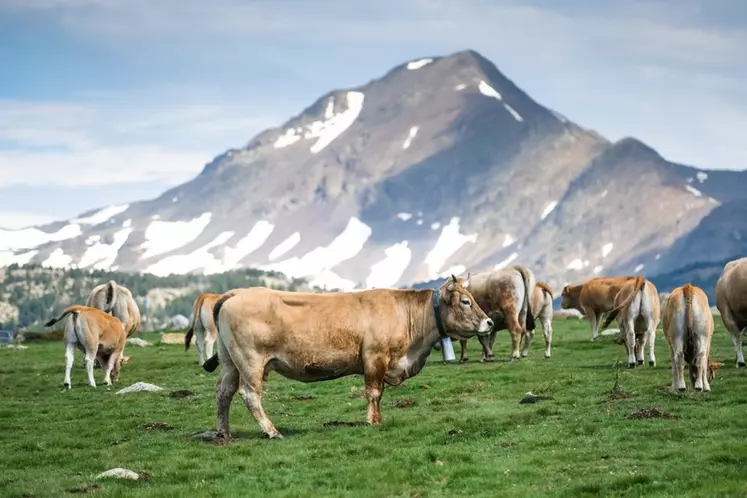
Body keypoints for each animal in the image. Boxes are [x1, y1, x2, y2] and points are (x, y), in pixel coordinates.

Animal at [202, 274, 496, 442]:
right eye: (466, 301)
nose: (490, 322)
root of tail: (237, 292)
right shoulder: (375, 358)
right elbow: (374, 392)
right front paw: (372, 421)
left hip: (230, 362)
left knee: (223, 393)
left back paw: (224, 433)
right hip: (250, 362)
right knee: (249, 395)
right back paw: (271, 431)